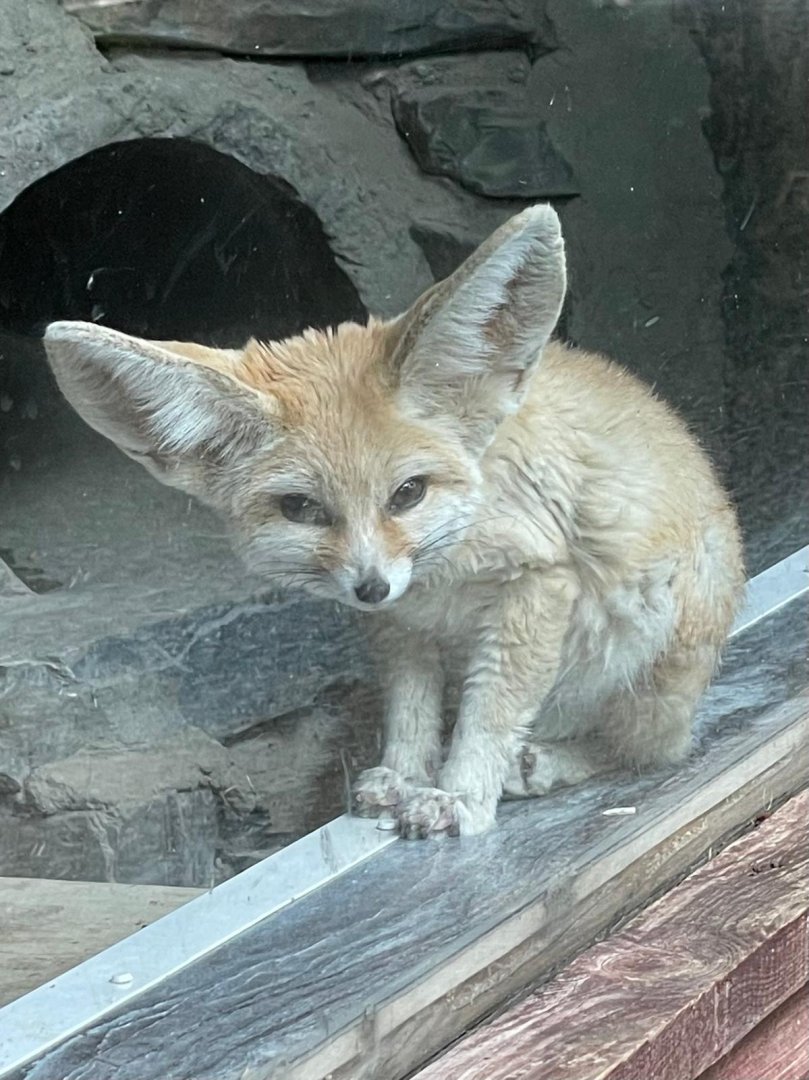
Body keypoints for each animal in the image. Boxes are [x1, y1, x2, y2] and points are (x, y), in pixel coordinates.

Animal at [43, 204, 744, 839]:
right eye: (302, 509)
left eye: (408, 493)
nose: (371, 585)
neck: (444, 579)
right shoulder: (401, 625)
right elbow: (410, 709)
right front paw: (408, 775)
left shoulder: (539, 582)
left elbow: (490, 711)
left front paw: (460, 794)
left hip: (653, 642)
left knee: (648, 750)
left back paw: (546, 762)